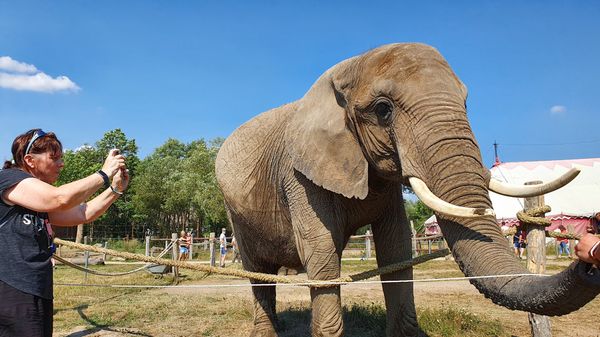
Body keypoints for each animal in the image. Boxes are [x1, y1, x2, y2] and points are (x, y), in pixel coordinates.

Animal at [217, 43, 600, 334]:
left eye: (466, 103)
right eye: (383, 110)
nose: (588, 260)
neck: (348, 69)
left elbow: (396, 248)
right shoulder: (298, 174)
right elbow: (321, 253)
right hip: (235, 213)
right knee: (258, 274)